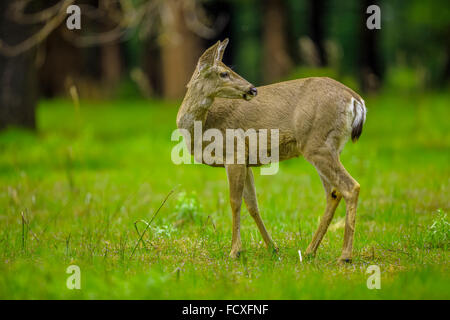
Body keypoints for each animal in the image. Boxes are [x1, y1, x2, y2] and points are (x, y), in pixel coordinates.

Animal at [176, 38, 366, 262]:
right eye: (223, 73)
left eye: (228, 70)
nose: (252, 89)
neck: (202, 129)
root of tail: (355, 99)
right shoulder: (247, 161)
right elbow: (252, 204)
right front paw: (272, 247)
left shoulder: (234, 154)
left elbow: (234, 202)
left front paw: (234, 251)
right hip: (328, 147)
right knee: (334, 193)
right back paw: (310, 250)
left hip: (317, 144)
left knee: (350, 187)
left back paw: (344, 255)